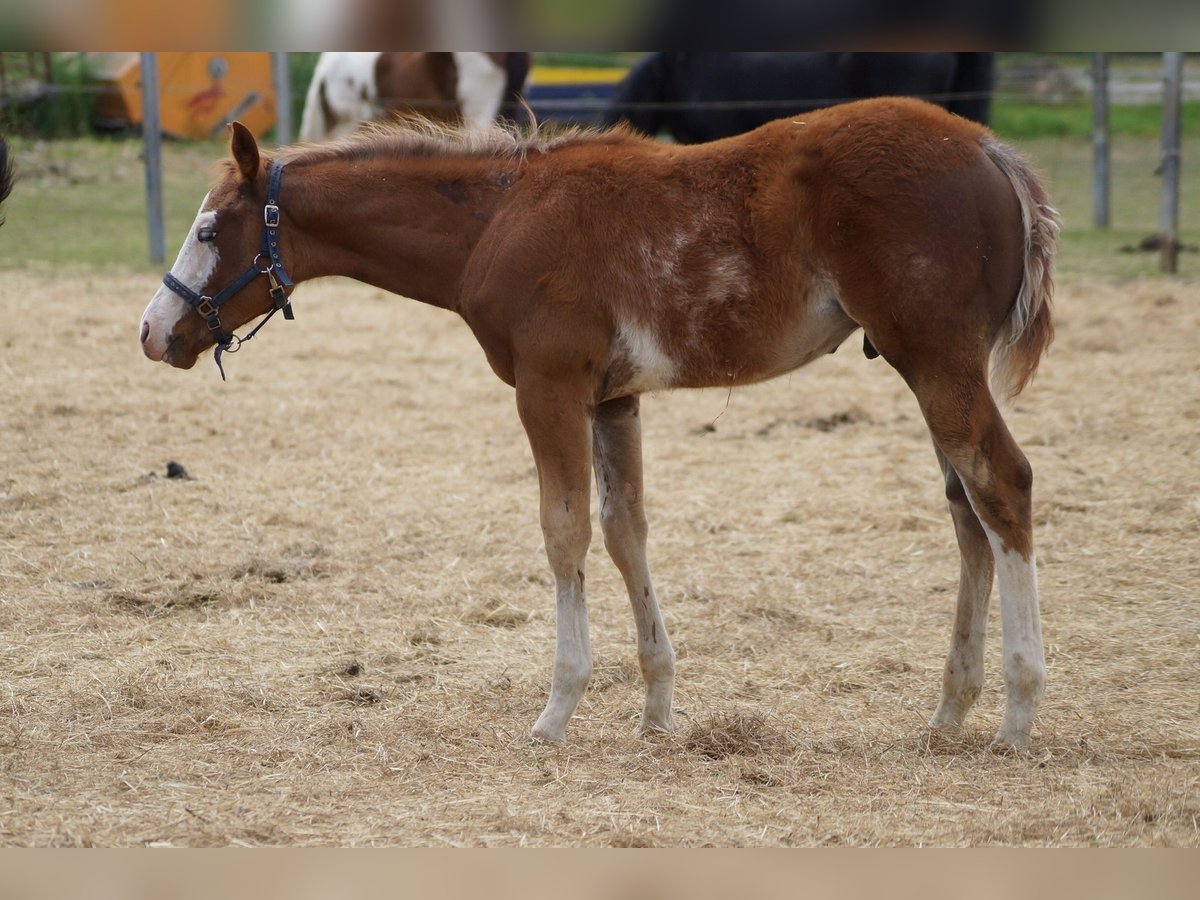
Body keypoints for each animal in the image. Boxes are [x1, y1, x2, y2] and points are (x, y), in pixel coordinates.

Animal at [139, 97, 1059, 750]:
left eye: (209, 229)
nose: (154, 332)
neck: (499, 218)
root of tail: (991, 151)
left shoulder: (548, 391)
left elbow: (565, 533)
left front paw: (557, 709)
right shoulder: (615, 400)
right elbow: (626, 531)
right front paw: (657, 706)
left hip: (935, 359)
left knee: (1003, 485)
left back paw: (1017, 715)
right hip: (924, 366)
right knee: (967, 512)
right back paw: (950, 711)